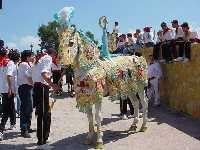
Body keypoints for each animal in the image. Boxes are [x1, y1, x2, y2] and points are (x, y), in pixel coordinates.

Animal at [54, 6, 148, 149]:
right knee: (136, 103)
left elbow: (98, 117)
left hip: (140, 86)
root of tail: (137, 57)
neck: (88, 69)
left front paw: (99, 141)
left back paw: (143, 126)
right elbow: (90, 117)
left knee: (144, 102)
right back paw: (133, 126)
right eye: (59, 42)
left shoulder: (98, 97)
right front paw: (89, 138)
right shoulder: (86, 96)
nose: (61, 63)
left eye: (71, 43)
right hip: (129, 88)